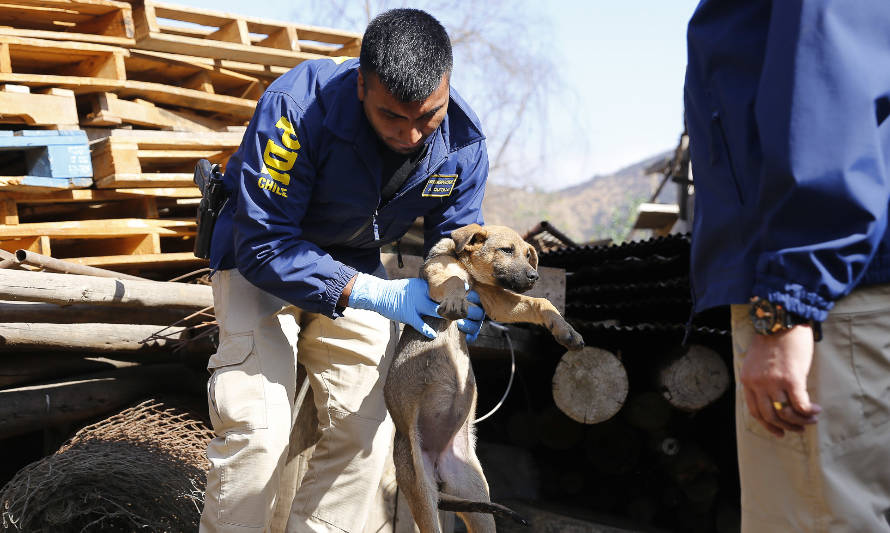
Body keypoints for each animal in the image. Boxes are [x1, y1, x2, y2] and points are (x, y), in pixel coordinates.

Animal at [382, 223, 584, 532]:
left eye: (529, 255)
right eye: (506, 250)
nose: (534, 276)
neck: (471, 272)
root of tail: (438, 463)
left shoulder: (495, 301)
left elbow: (539, 301)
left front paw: (565, 330)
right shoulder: (439, 274)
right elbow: (453, 280)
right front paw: (455, 301)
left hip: (476, 493)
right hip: (421, 491)